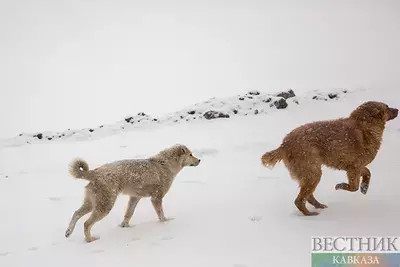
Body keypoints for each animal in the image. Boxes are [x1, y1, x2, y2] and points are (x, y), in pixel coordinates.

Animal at [262, 101, 396, 217]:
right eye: (387, 107)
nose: (397, 109)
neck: (365, 126)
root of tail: (284, 145)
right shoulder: (354, 168)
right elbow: (353, 187)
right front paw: (341, 186)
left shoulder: (355, 167)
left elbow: (368, 173)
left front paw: (364, 188)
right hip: (313, 173)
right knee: (299, 200)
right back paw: (310, 214)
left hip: (309, 174)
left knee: (308, 196)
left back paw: (319, 206)